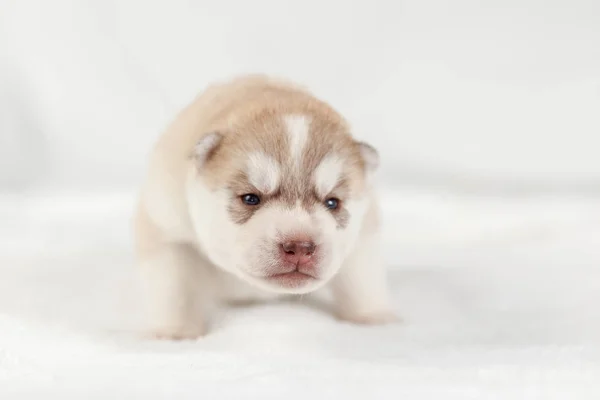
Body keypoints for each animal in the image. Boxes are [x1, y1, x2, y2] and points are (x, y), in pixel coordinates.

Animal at [137, 73, 398, 340]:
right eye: (251, 198)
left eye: (332, 202)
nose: (300, 247)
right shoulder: (167, 229)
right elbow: (174, 287)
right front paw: (175, 332)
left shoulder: (365, 231)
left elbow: (362, 278)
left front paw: (373, 317)